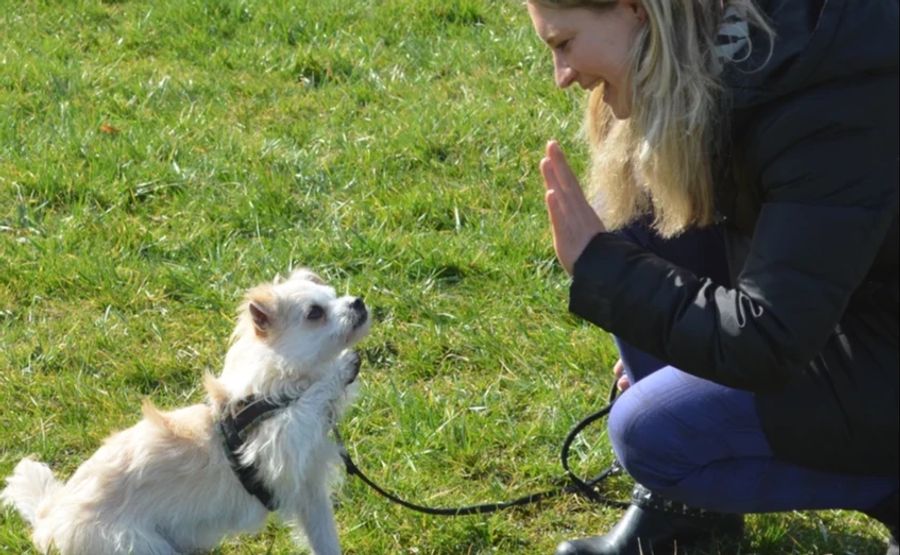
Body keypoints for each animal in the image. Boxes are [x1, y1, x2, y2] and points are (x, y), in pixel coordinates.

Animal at [0, 268, 370, 552]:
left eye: (334, 294)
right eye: (314, 313)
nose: (358, 302)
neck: (270, 388)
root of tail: (49, 521)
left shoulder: (310, 492)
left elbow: (324, 539)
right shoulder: (277, 441)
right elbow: (308, 398)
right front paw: (340, 368)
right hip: (134, 545)